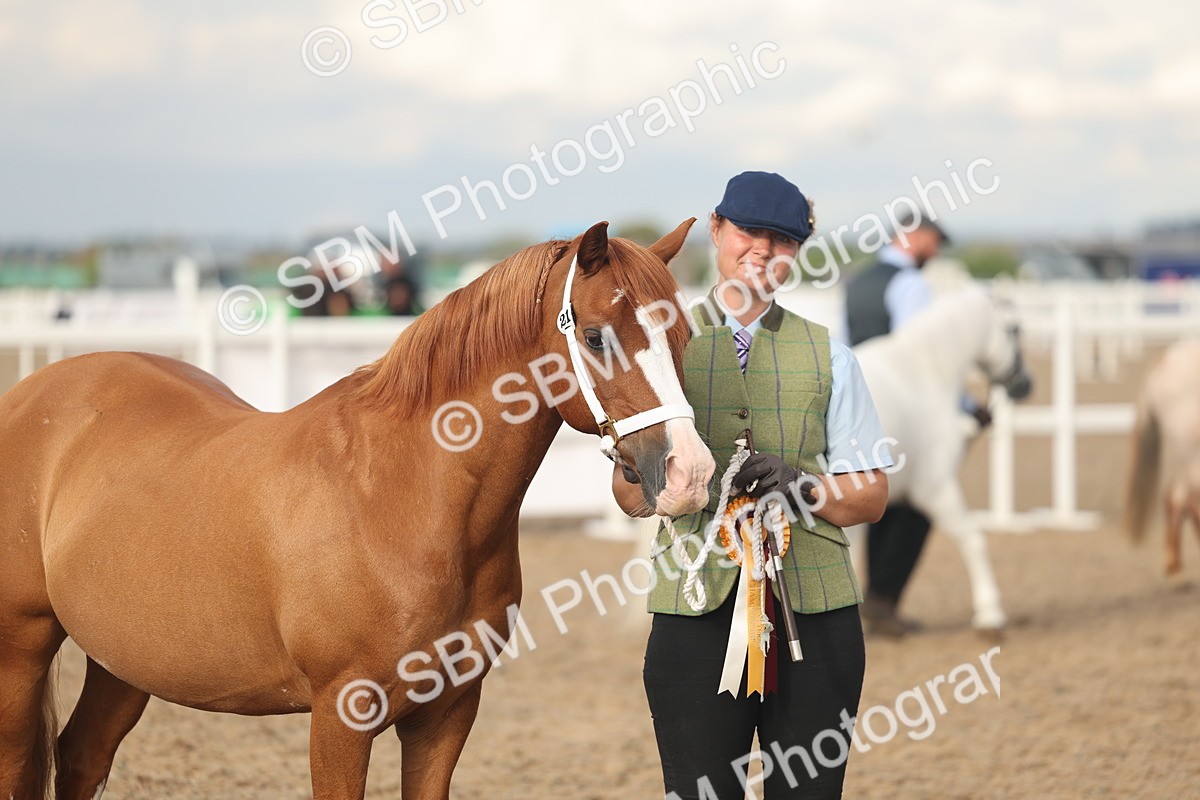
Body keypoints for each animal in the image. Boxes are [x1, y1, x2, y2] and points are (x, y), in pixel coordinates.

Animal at [0, 219, 716, 800]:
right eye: (596, 337)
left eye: (684, 335)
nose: (688, 473)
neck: (402, 497)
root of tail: (31, 394)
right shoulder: (341, 717)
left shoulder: (447, 714)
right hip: (23, 647)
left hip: (123, 660)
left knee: (81, 756)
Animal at [846, 286, 1033, 633]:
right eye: (1015, 329)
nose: (1026, 383)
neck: (924, 371)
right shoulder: (934, 489)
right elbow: (973, 539)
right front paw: (990, 612)